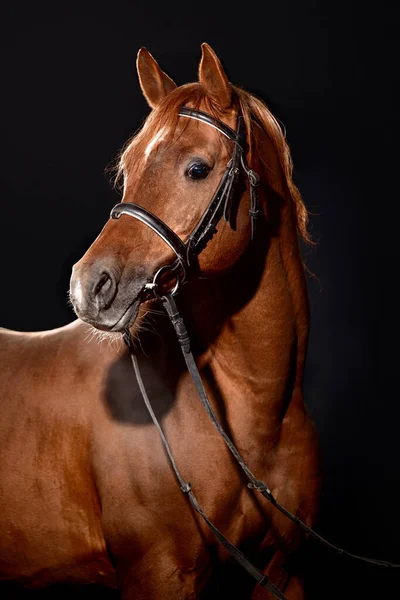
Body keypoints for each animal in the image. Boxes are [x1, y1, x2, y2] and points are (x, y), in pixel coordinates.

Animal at [0, 44, 320, 596]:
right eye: (127, 168)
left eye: (197, 169)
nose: (90, 286)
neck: (254, 412)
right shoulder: (160, 574)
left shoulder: (285, 573)